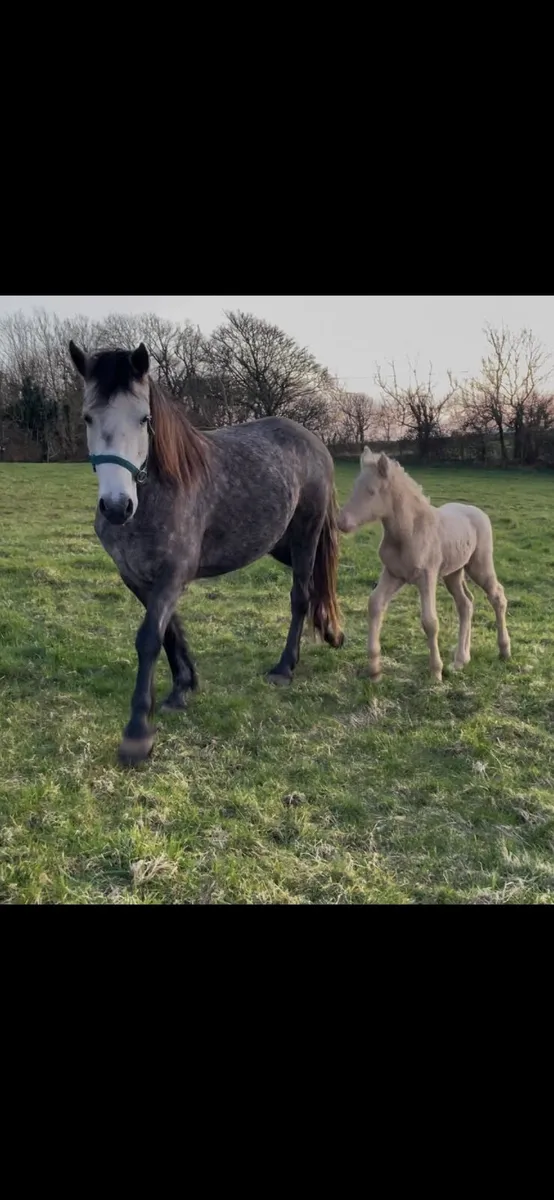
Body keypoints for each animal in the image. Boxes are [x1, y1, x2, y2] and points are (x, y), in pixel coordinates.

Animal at [69, 341, 344, 764]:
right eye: (87, 418)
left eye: (143, 418)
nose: (116, 507)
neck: (157, 493)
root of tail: (312, 440)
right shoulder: (138, 578)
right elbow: (169, 631)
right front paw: (183, 686)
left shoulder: (172, 575)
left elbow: (149, 638)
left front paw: (138, 732)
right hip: (280, 544)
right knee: (318, 587)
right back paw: (331, 632)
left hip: (306, 535)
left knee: (302, 595)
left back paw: (285, 667)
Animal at [337, 447, 510, 683]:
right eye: (355, 487)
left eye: (371, 491)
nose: (341, 522)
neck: (409, 531)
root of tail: (477, 511)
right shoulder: (394, 574)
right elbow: (375, 604)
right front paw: (374, 670)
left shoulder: (426, 576)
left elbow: (430, 621)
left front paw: (436, 672)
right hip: (453, 573)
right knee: (466, 604)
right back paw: (461, 660)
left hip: (479, 565)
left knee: (497, 596)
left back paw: (504, 651)